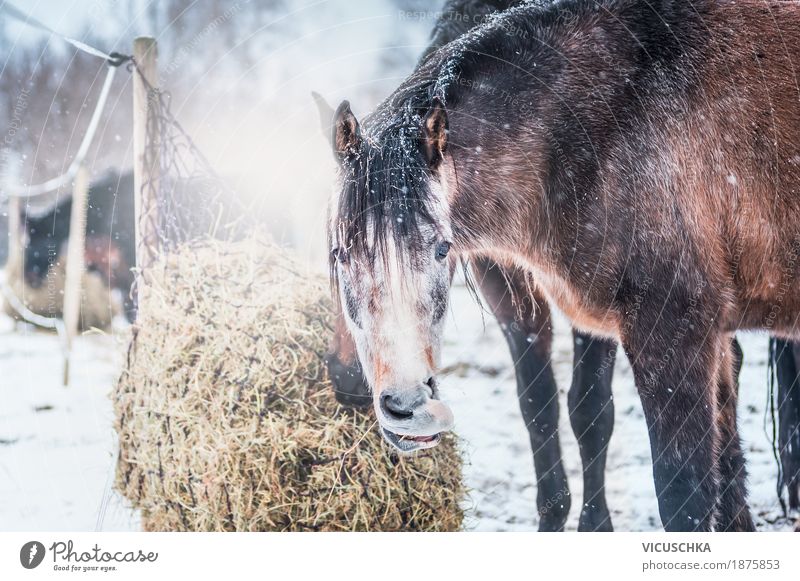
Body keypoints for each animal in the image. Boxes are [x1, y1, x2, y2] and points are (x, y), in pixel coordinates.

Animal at [324, 0, 800, 532]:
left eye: (443, 249)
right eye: (339, 252)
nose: (403, 405)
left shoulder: (669, 329)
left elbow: (656, 470)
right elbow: (540, 405)